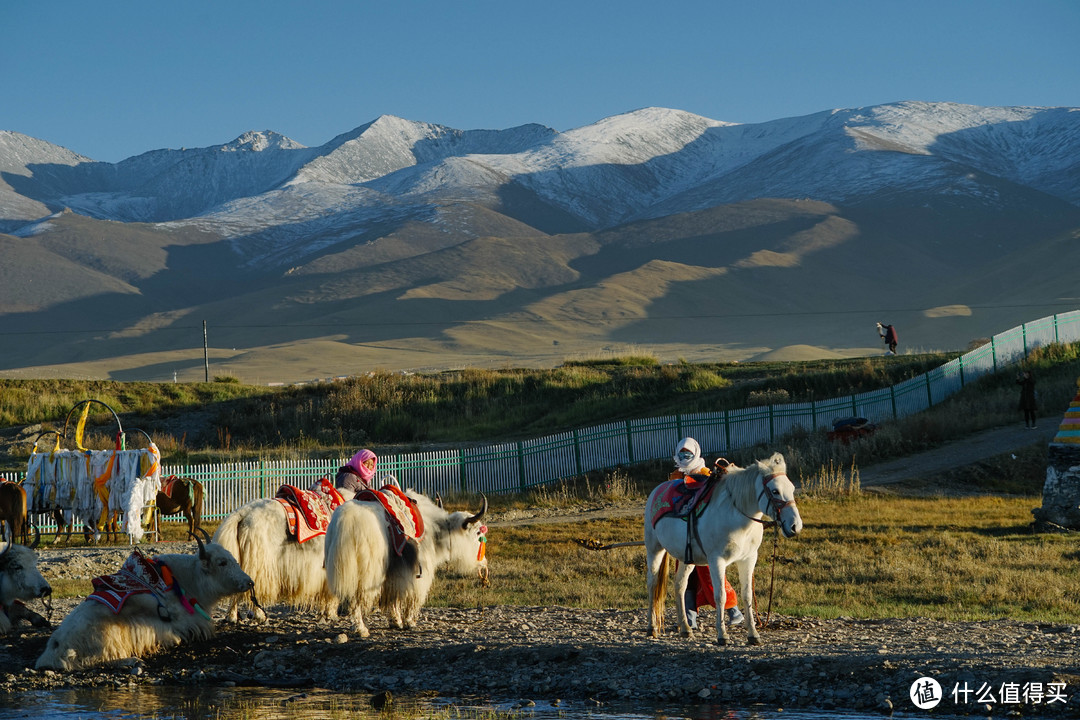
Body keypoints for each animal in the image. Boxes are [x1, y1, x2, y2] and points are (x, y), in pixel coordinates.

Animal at [639, 451, 803, 647]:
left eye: (792, 488)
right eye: (775, 490)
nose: (795, 526)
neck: (737, 516)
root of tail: (657, 490)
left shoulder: (748, 559)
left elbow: (747, 595)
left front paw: (753, 634)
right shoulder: (716, 560)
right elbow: (720, 596)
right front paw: (722, 635)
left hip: (687, 558)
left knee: (680, 586)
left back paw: (685, 628)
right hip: (654, 549)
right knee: (652, 584)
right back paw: (652, 627)